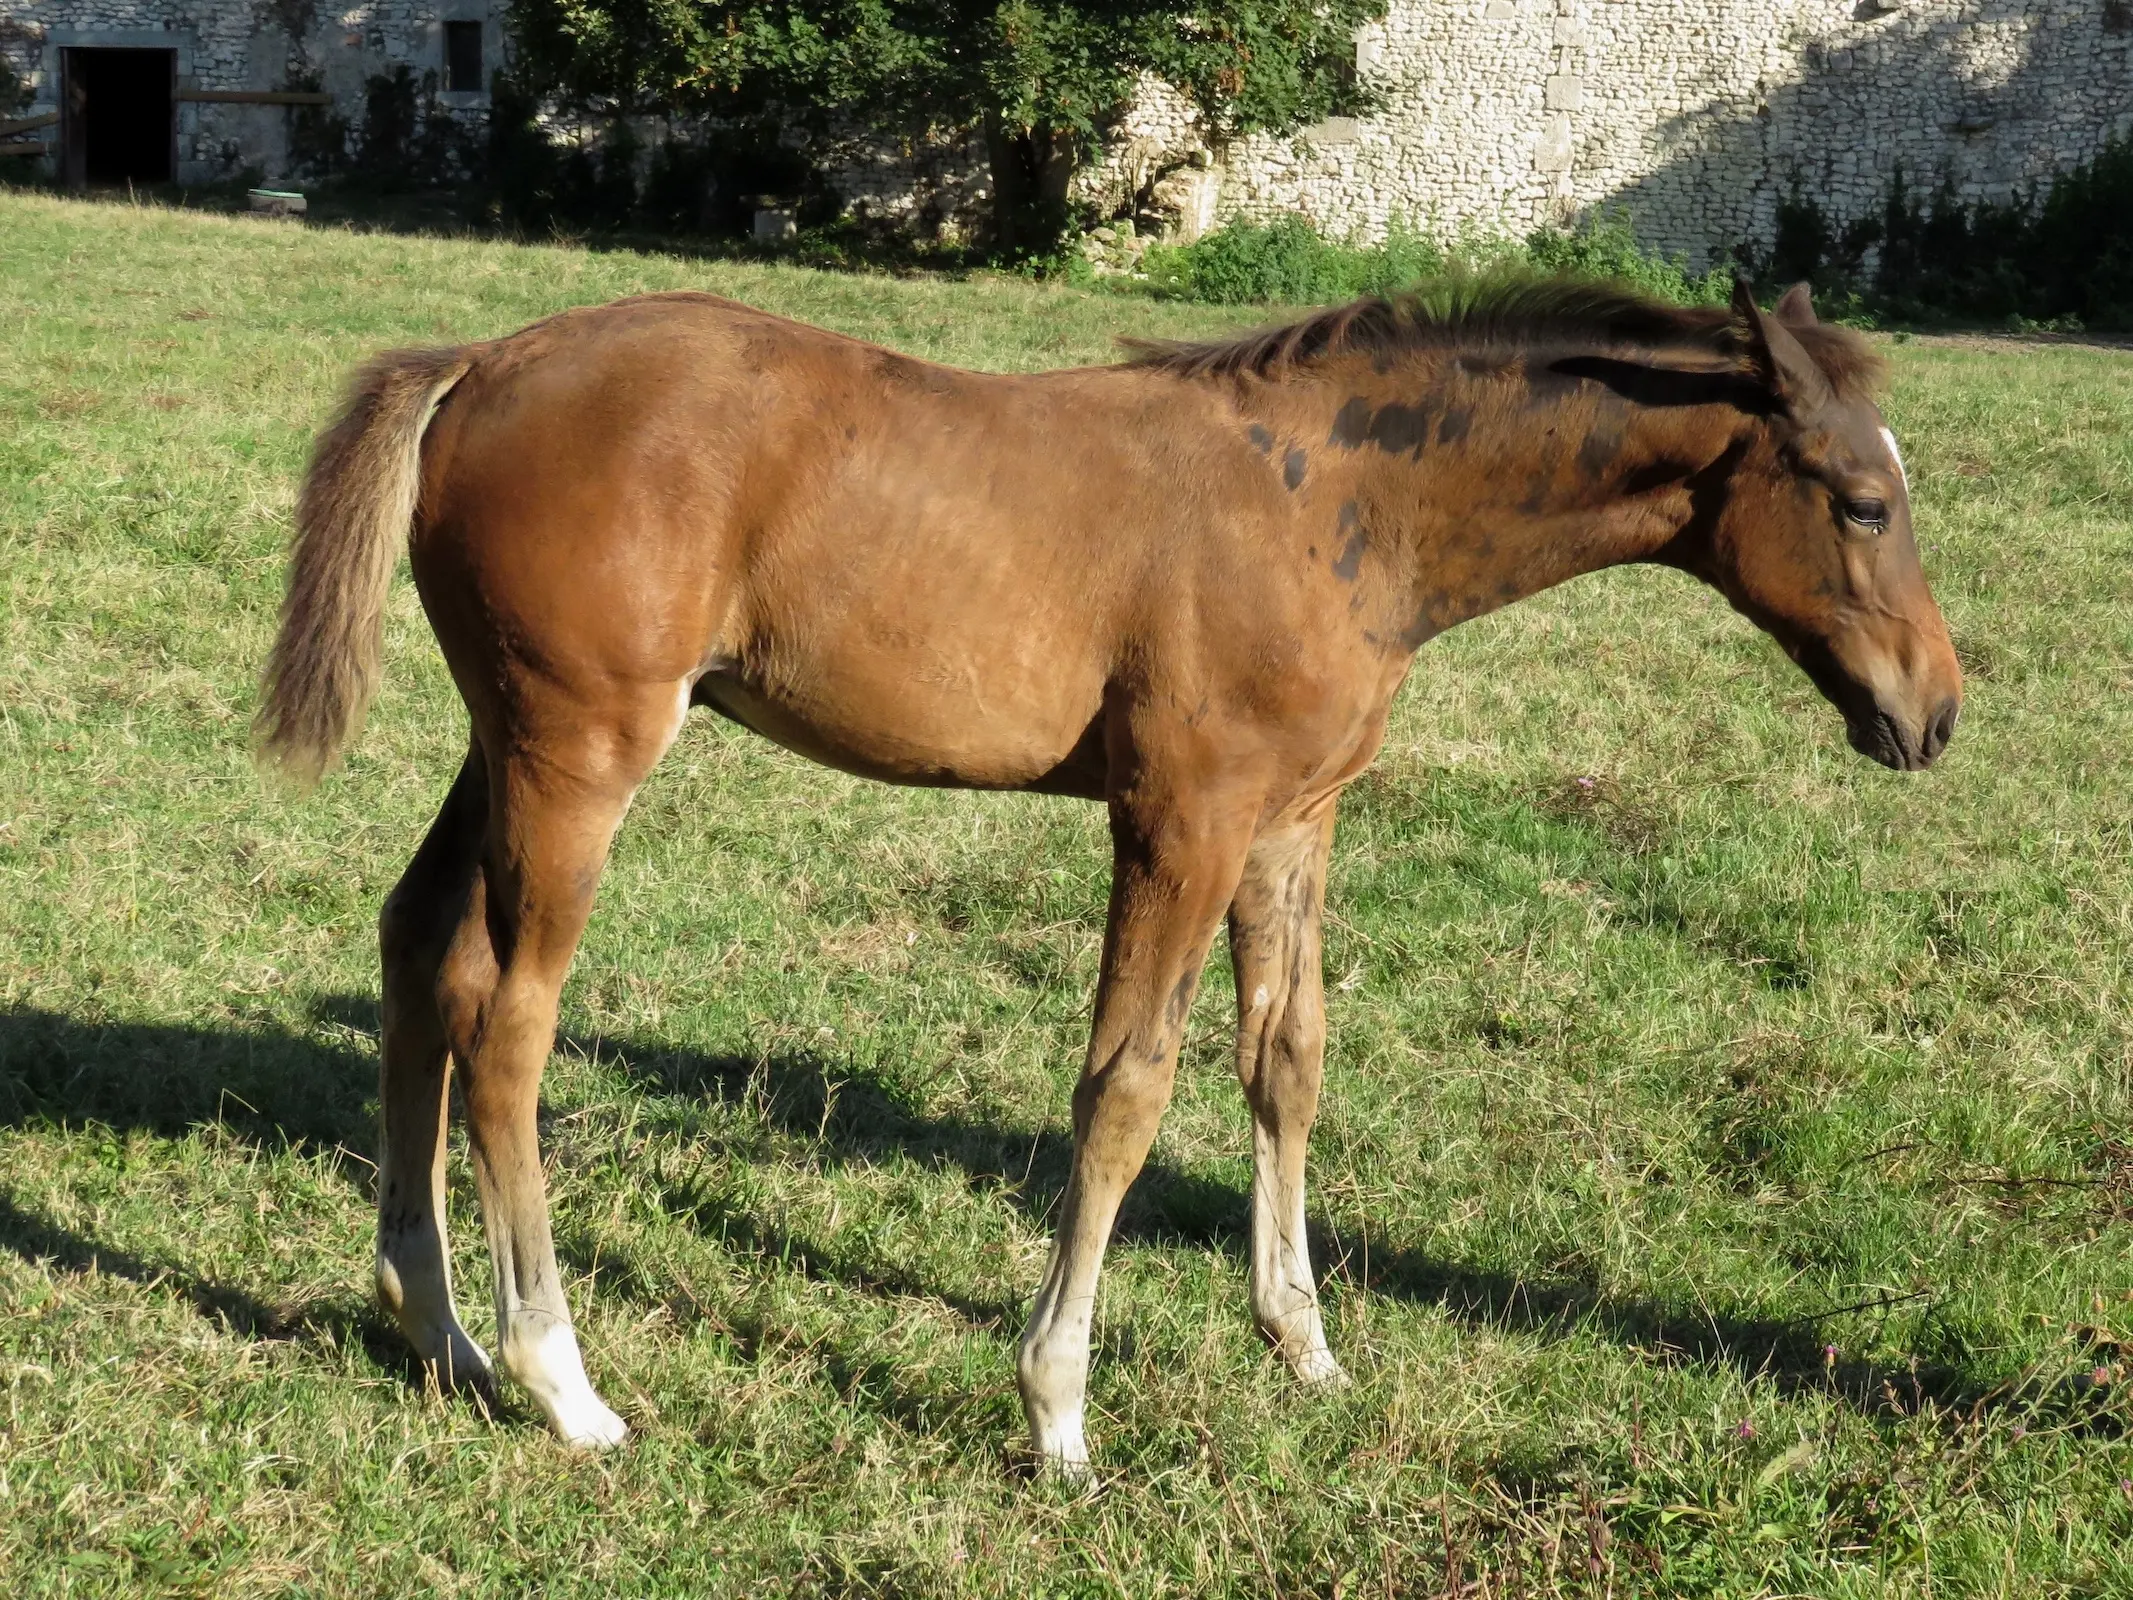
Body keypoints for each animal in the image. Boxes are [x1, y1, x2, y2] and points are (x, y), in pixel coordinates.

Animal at [258, 275, 1953, 1476]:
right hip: (583, 751)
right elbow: (1127, 1087)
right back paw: (564, 1385)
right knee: (510, 1020)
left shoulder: (1292, 818)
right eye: (1862, 502)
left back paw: (438, 1330)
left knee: (420, 950)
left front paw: (1304, 1347)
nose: (1931, 714)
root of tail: (481, 364)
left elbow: (1286, 1059)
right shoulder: (1179, 817)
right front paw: (1058, 1409)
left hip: (504, 739)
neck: (1339, 501)